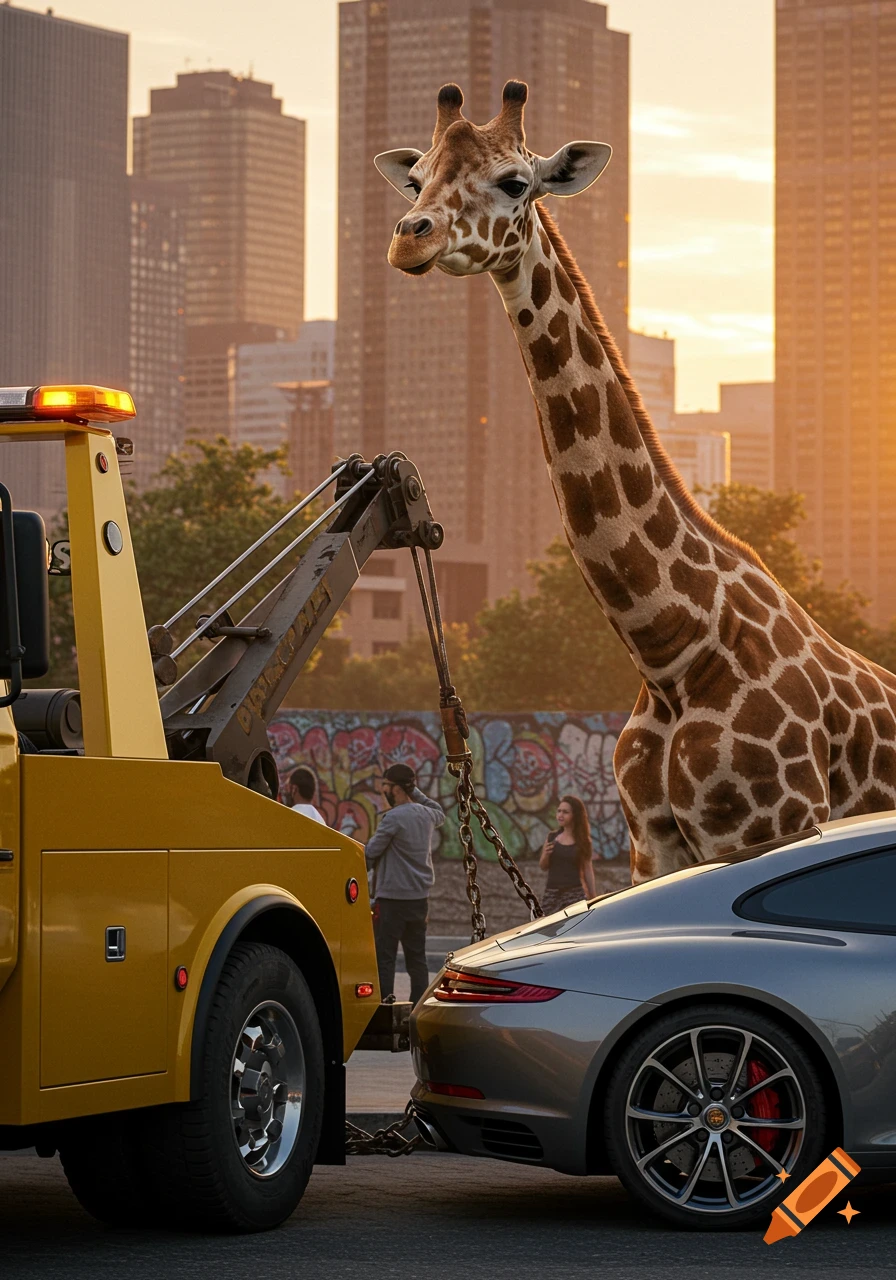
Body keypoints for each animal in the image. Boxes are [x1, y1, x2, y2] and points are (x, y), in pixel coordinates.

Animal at [374, 79, 896, 883]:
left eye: (515, 181)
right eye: (419, 177)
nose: (411, 237)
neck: (672, 649)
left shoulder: (771, 824)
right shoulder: (653, 846)